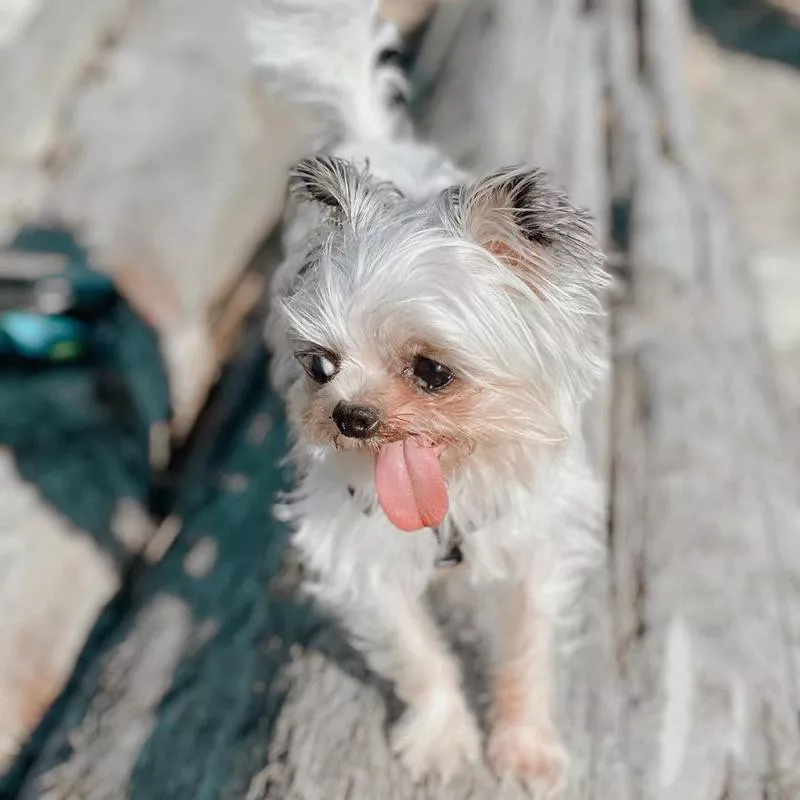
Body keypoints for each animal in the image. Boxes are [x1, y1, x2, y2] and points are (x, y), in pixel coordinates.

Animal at [250, 0, 608, 788]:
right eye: (319, 365)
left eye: (433, 372)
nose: (351, 417)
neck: (452, 487)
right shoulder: (358, 556)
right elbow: (418, 655)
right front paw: (445, 739)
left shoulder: (532, 549)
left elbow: (524, 651)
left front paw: (523, 744)